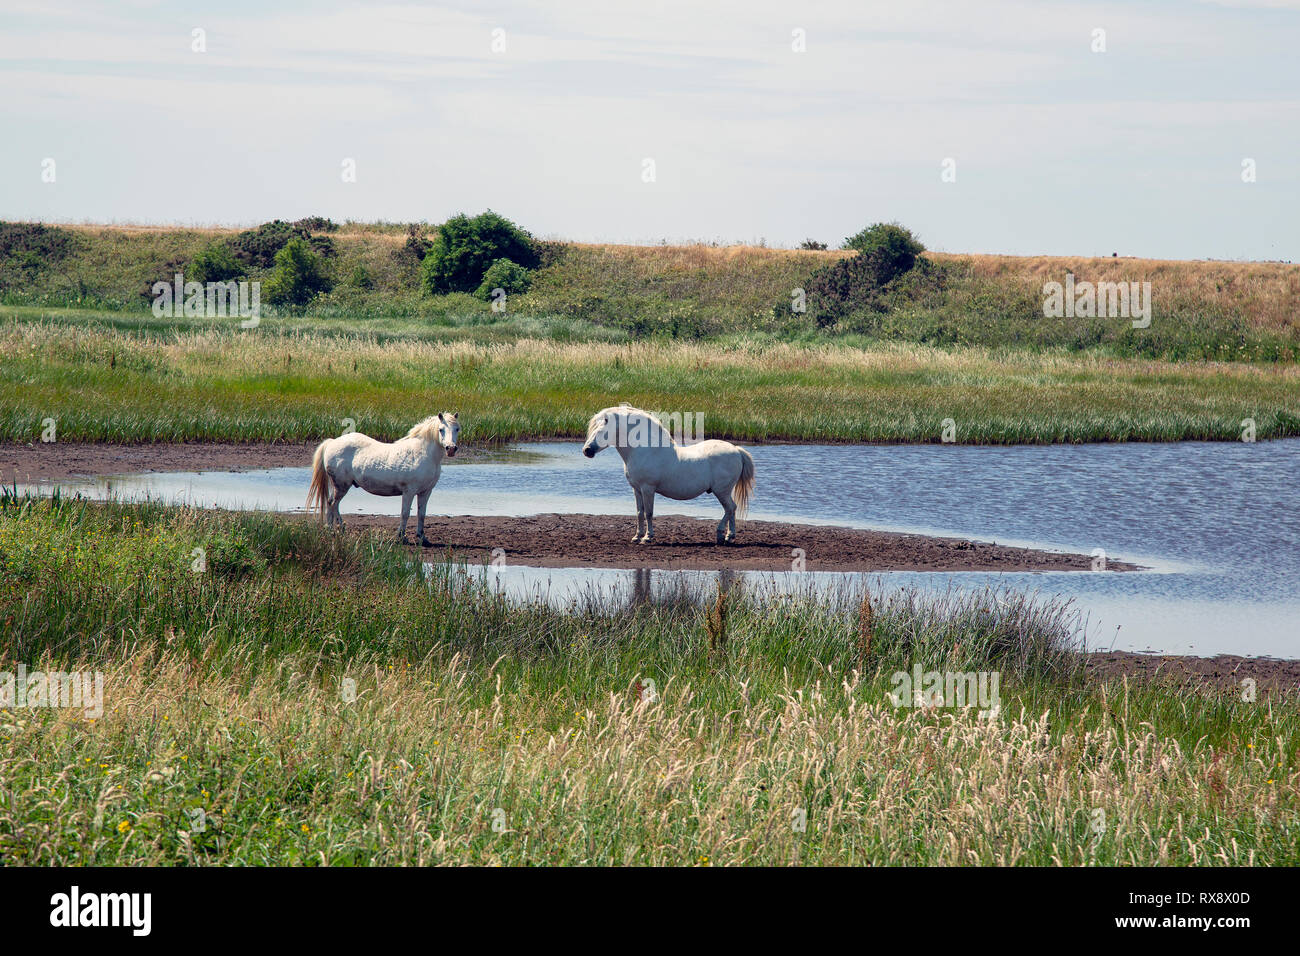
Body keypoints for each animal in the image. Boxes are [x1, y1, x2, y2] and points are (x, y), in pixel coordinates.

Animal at [307, 413, 460, 546]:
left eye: (457, 429)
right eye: (441, 429)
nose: (451, 449)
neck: (423, 453)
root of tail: (332, 442)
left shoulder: (426, 492)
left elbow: (421, 514)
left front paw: (423, 538)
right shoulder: (409, 491)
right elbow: (405, 513)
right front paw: (402, 537)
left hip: (341, 486)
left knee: (334, 505)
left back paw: (340, 529)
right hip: (341, 486)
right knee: (331, 503)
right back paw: (330, 530)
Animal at [582, 405, 755, 545]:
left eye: (602, 431)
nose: (587, 451)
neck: (645, 450)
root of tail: (736, 450)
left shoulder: (647, 488)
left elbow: (649, 513)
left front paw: (647, 537)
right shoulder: (636, 489)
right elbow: (639, 513)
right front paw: (637, 537)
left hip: (721, 491)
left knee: (730, 508)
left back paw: (723, 535)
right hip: (724, 491)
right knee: (730, 510)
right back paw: (729, 537)